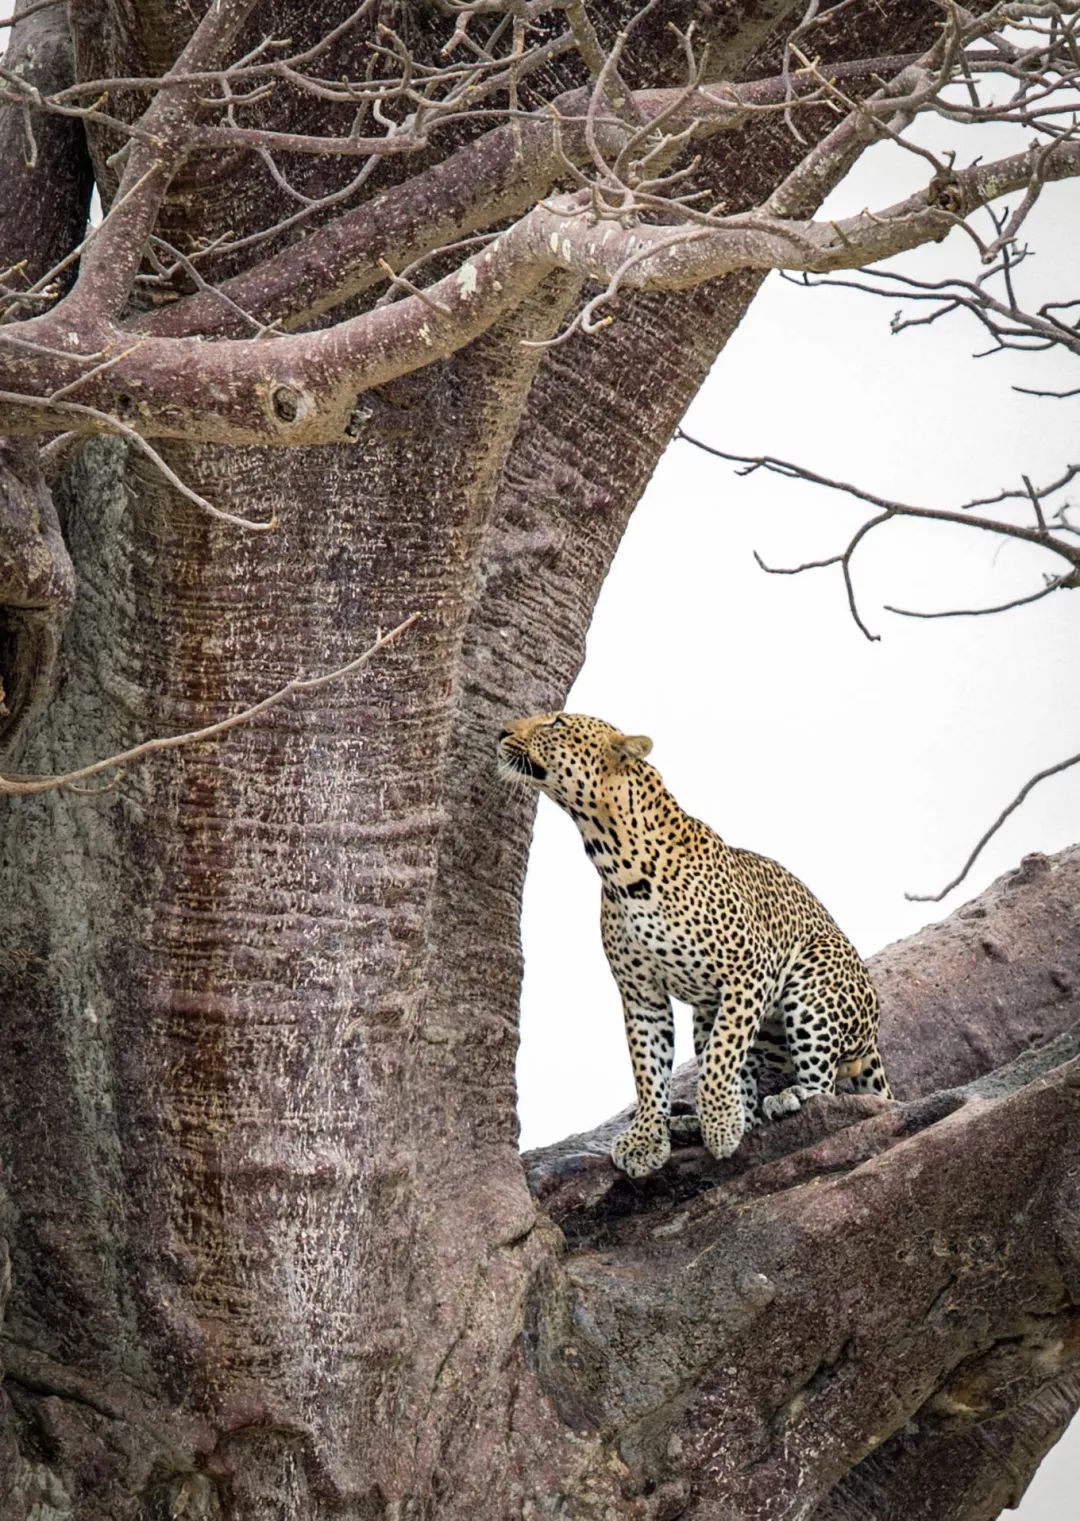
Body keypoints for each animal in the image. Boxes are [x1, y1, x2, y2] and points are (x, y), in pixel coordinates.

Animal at [498, 711, 888, 1174]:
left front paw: (720, 1125)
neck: (614, 858)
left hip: (814, 982)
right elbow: (649, 1070)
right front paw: (649, 1139)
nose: (501, 732)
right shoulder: (642, 995)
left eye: (555, 724)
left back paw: (786, 1099)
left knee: (825, 1083)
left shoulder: (747, 974)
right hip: (716, 1018)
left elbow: (721, 1058)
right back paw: (703, 1122)